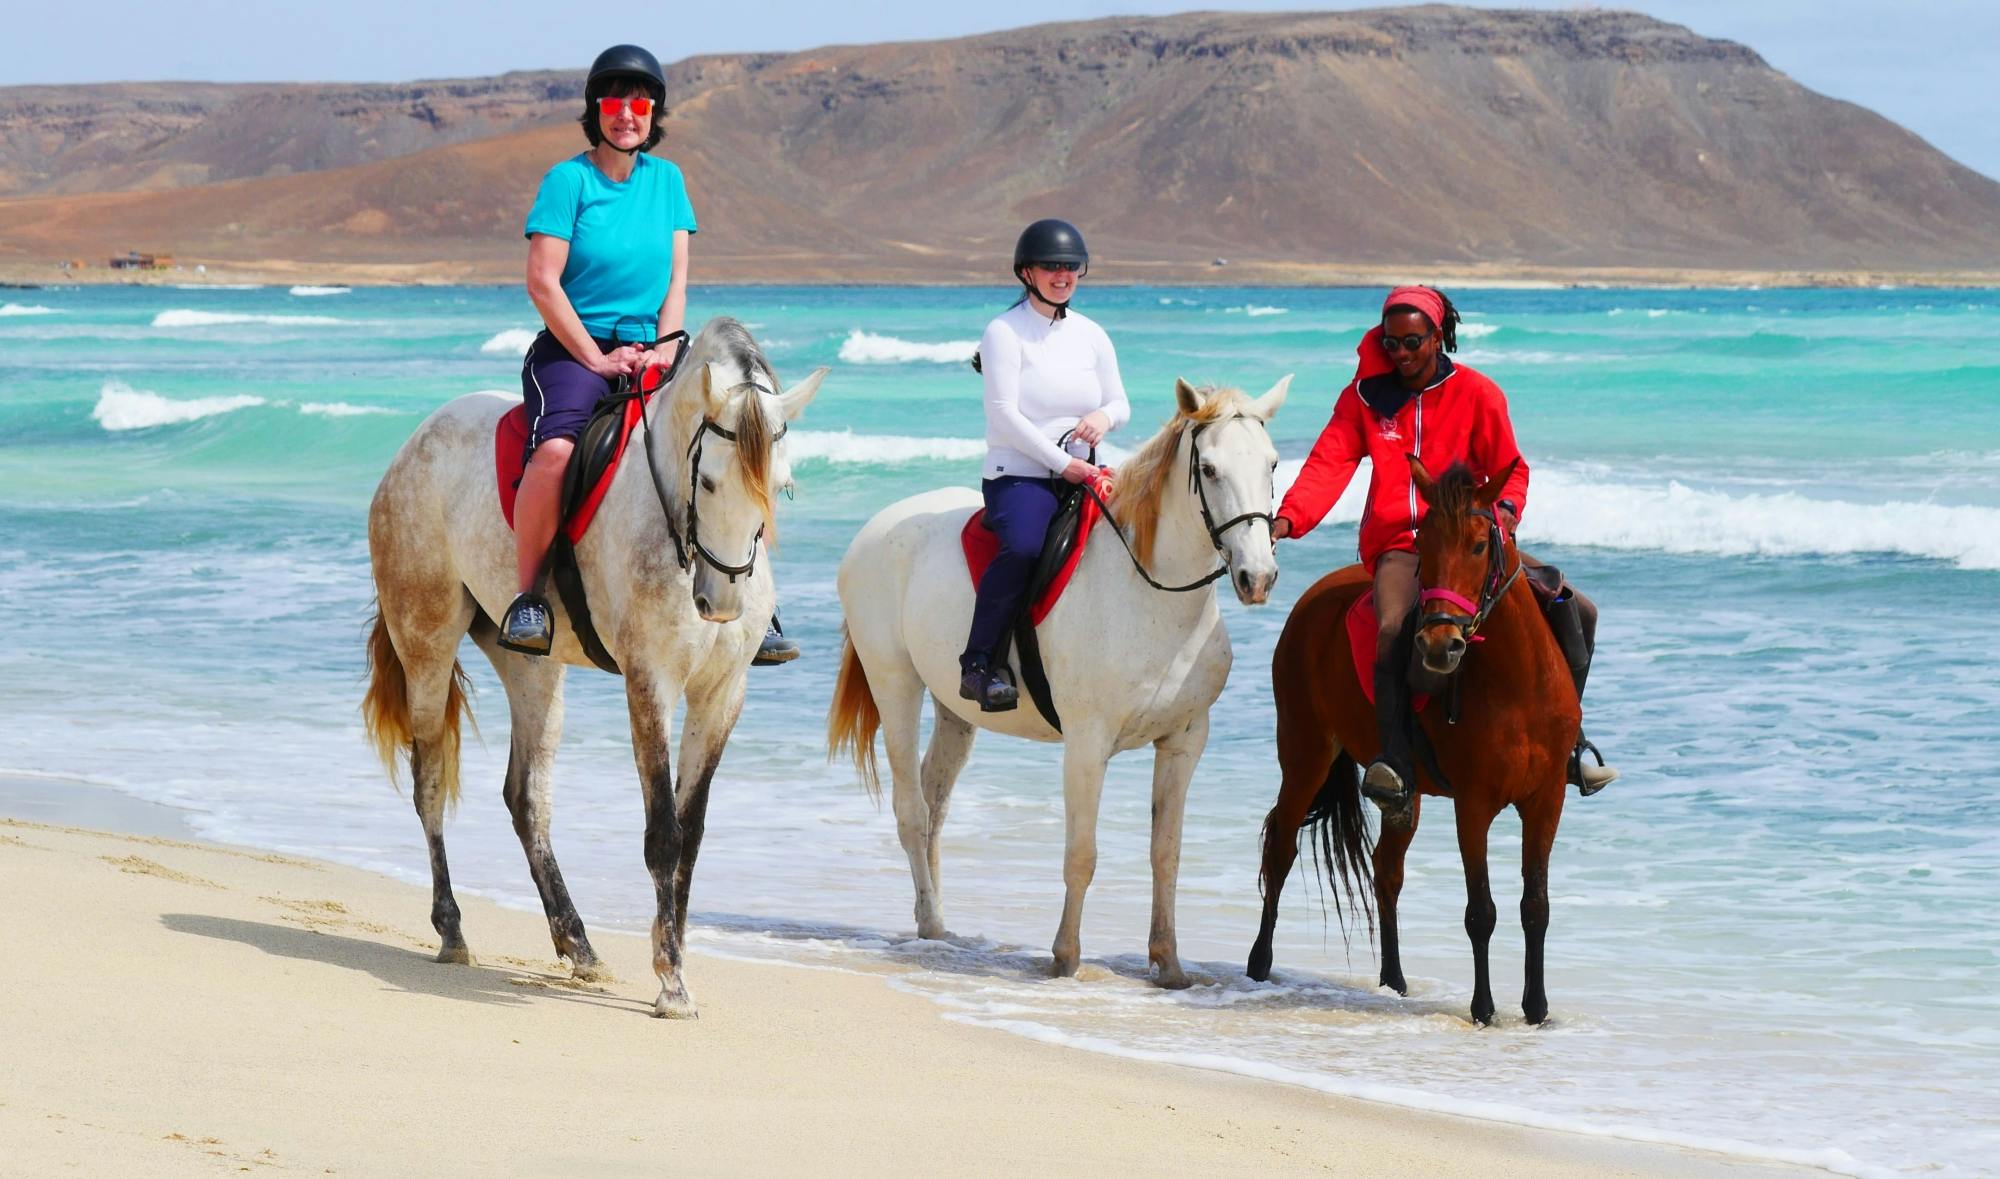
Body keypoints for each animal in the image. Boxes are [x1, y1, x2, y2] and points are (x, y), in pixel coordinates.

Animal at [364, 319, 824, 1023]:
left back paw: (576, 942)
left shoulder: (723, 693)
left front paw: (673, 956)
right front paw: (671, 983)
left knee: (527, 797)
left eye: (783, 486)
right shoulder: (650, 682)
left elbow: (690, 834)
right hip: (425, 641)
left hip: (532, 668)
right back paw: (453, 930)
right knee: (430, 782)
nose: (720, 604)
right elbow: (663, 833)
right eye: (710, 483)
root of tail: (414, 441)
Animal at [824, 379, 1280, 987]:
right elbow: (1081, 854)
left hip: (954, 708)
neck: (1150, 593)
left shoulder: (1184, 742)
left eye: (1272, 463)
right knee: (911, 809)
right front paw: (1065, 957)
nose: (1259, 578)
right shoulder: (1086, 746)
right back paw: (934, 925)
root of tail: (874, 529)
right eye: (1208, 468)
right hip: (894, 682)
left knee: (933, 803)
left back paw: (933, 918)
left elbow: (1166, 853)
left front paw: (1169, 964)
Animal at [1248, 457, 1576, 1031]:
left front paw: (1536, 1011)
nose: (1439, 645)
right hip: (1305, 754)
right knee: (1282, 848)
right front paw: (1484, 1009)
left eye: (1478, 545)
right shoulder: (1474, 804)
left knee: (1386, 870)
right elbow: (1481, 911)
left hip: (1406, 794)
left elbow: (1535, 905)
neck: (1518, 684)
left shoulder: (1546, 799)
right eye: (1423, 545)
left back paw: (1394, 981)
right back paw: (1259, 964)